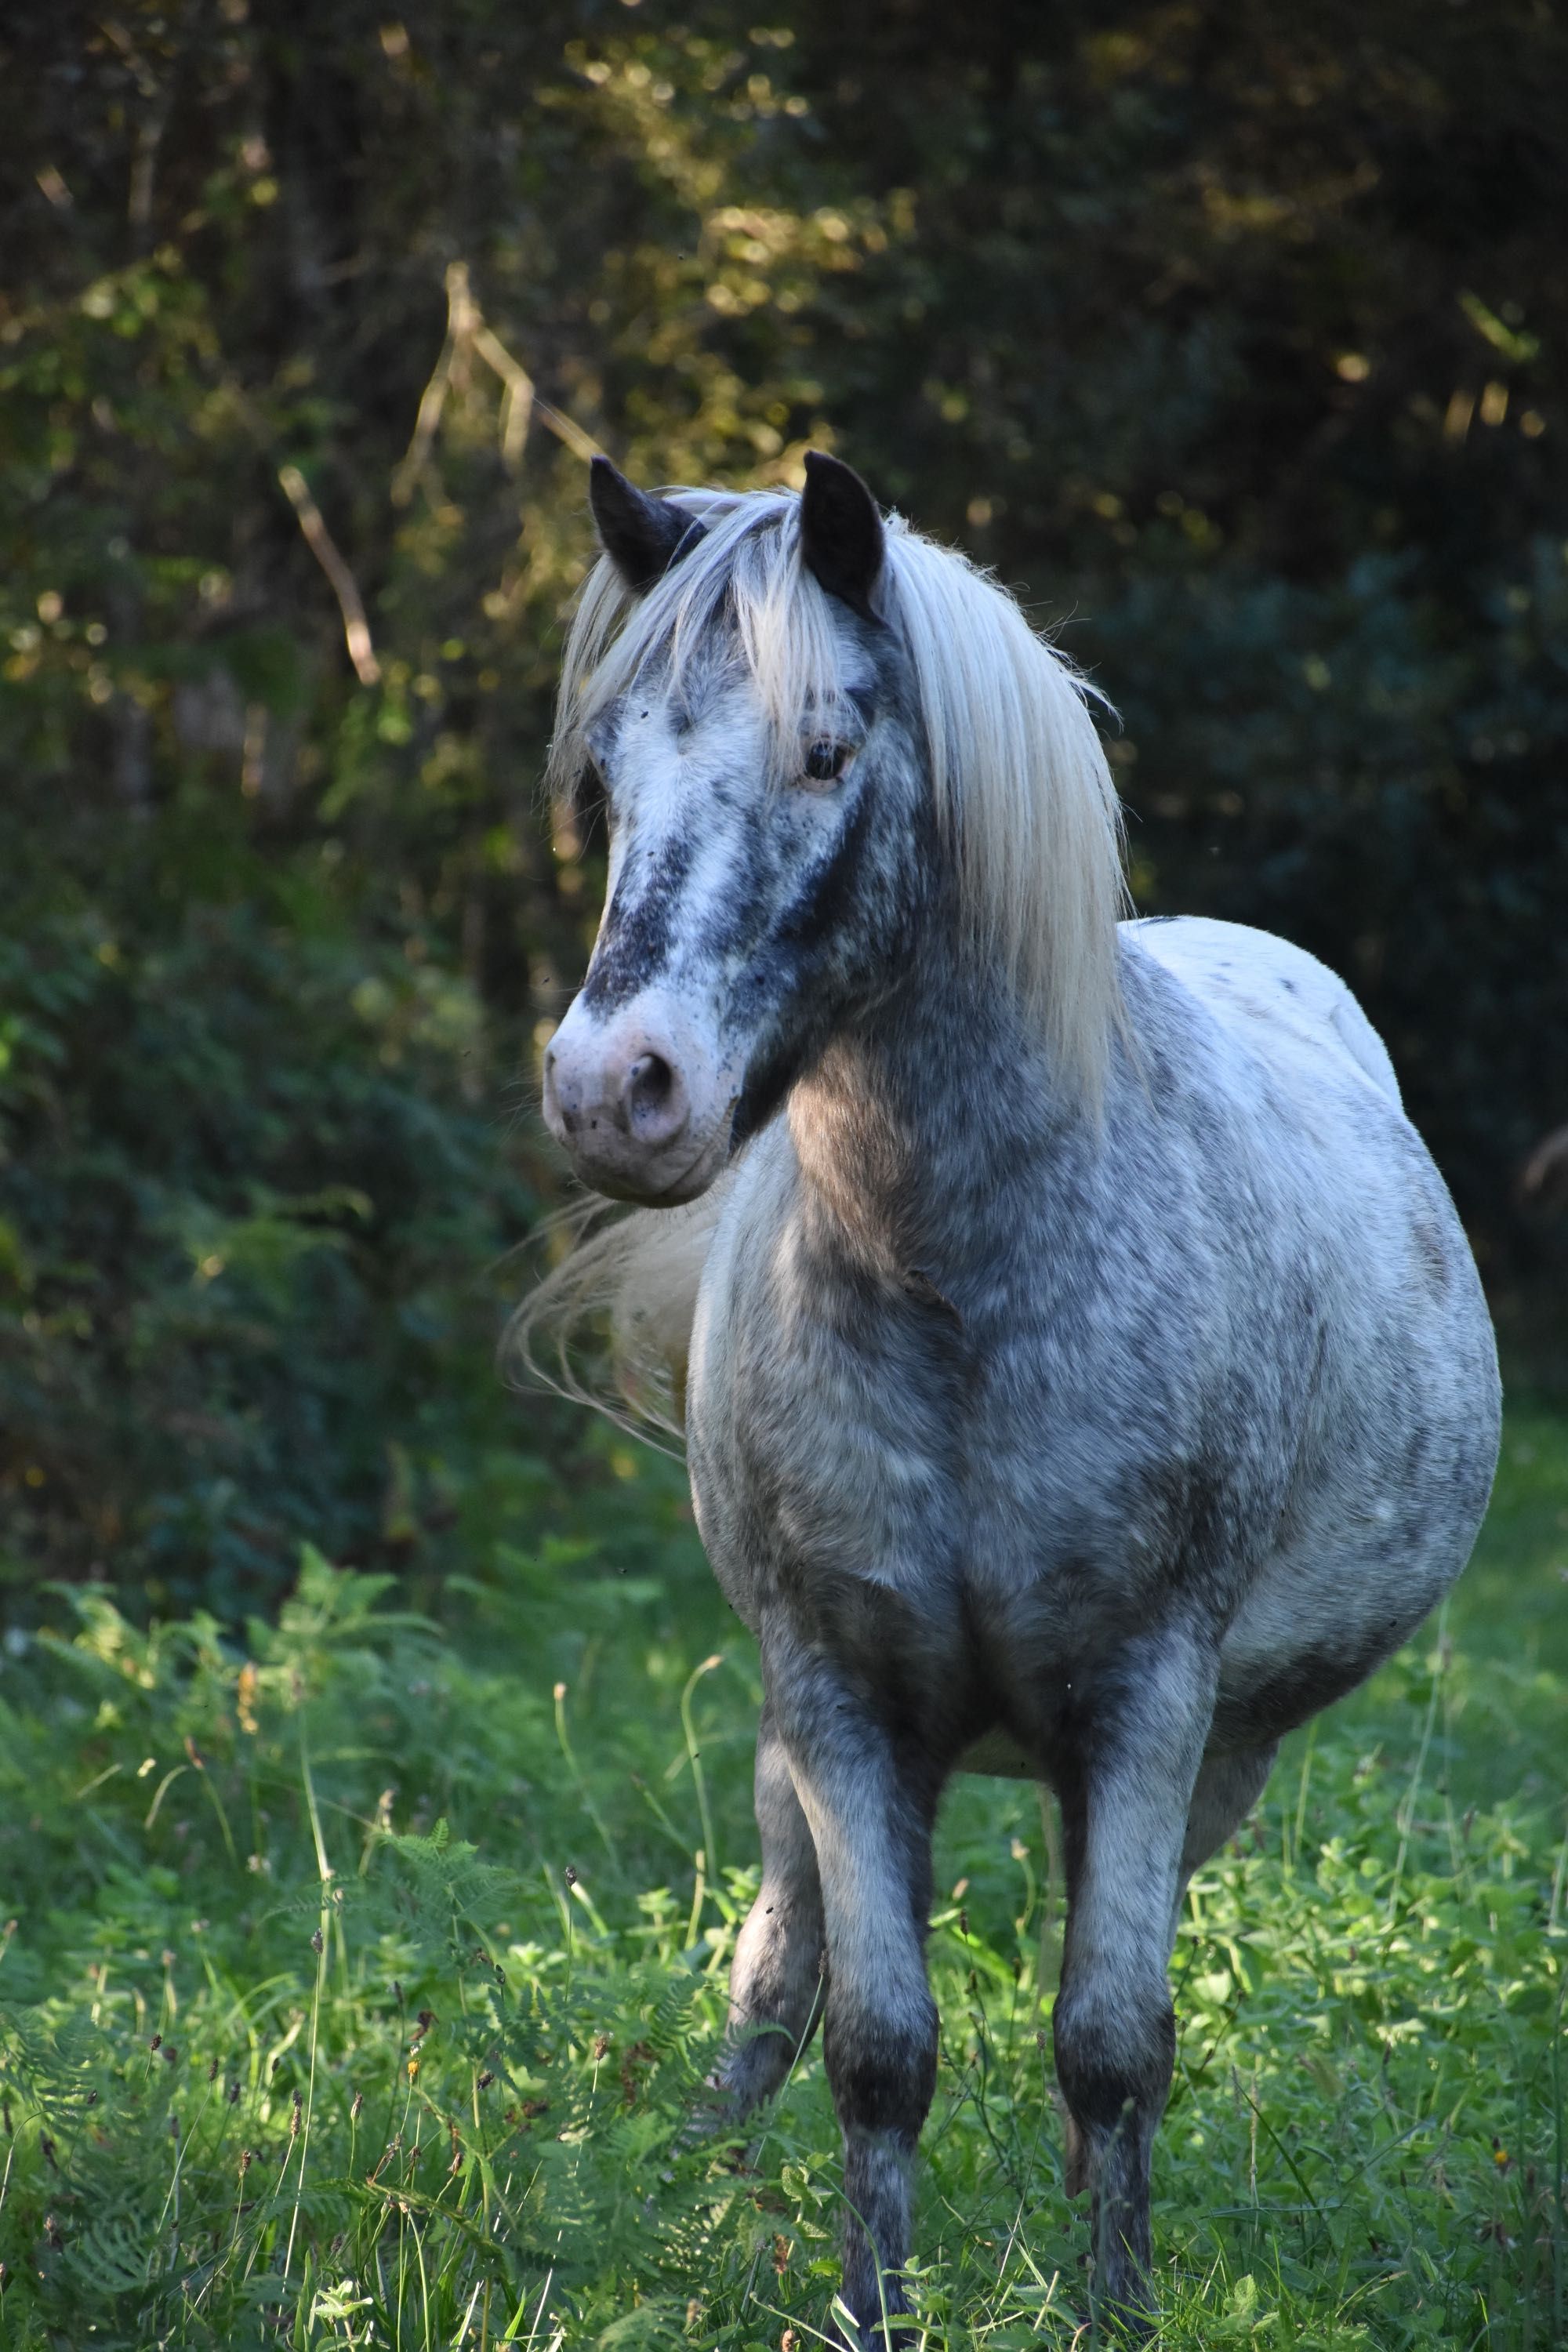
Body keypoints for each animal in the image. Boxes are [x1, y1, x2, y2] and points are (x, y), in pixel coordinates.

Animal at [521, 445, 1504, 2333]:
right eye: (605, 777)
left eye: (827, 752)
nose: (617, 1089)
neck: (962, 1286)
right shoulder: (835, 1694)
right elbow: (877, 2052)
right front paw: (868, 2309)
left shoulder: (1145, 1698)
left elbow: (1111, 2041)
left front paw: (1112, 2304)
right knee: (777, 1962)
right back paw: (697, 2166)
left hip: (1200, 1761)